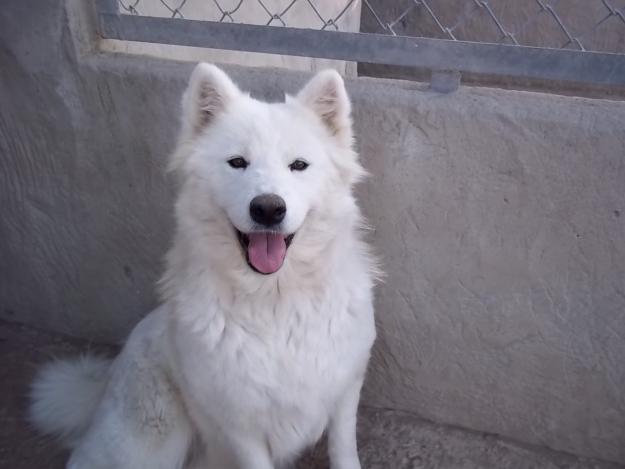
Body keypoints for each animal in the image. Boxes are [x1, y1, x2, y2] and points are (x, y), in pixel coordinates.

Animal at [30, 63, 376, 468]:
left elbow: (343, 451)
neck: (274, 300)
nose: (268, 208)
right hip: (155, 445)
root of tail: (103, 384)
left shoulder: (345, 392)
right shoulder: (240, 424)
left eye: (299, 166)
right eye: (238, 163)